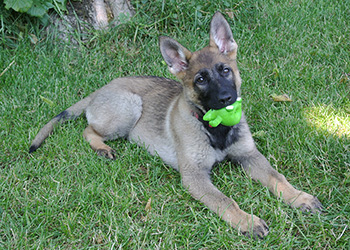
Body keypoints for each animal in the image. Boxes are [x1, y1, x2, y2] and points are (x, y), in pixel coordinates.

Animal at [30, 11, 322, 238]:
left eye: (225, 70)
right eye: (201, 80)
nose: (226, 99)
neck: (215, 128)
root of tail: (100, 90)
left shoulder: (250, 155)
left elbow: (277, 178)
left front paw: (299, 197)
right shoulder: (194, 175)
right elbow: (224, 200)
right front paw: (247, 221)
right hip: (129, 107)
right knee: (87, 129)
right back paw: (102, 148)